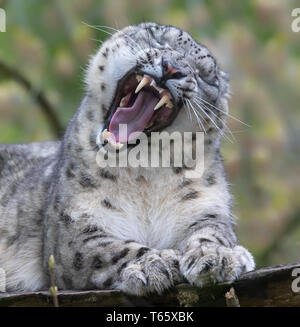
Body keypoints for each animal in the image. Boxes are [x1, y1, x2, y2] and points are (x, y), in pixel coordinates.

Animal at [0, 21, 254, 296]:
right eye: (159, 39)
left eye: (203, 74)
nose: (171, 68)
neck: (144, 174)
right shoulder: (74, 225)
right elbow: (112, 249)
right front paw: (155, 262)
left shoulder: (206, 208)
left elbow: (213, 233)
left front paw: (216, 256)